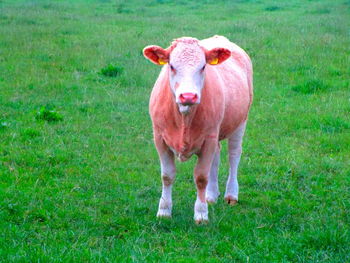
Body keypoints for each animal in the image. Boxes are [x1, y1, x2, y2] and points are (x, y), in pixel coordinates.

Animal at [144, 35, 253, 225]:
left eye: (203, 67)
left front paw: (201, 214)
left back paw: (231, 194)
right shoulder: (159, 138)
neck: (184, 117)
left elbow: (201, 177)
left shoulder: (208, 138)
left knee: (234, 155)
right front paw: (164, 211)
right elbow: (167, 175)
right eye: (171, 66)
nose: (188, 96)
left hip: (240, 121)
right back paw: (211, 195)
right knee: (216, 156)